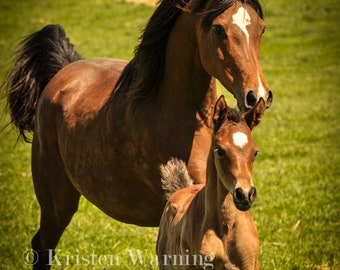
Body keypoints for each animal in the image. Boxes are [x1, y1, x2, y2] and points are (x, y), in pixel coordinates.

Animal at [3, 0, 270, 266]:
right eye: (218, 29)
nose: (257, 95)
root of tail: (64, 71)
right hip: (57, 204)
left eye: (262, 28)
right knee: (42, 246)